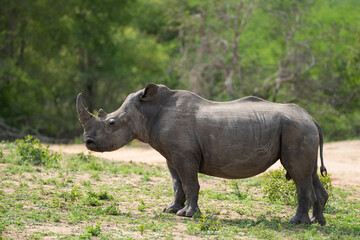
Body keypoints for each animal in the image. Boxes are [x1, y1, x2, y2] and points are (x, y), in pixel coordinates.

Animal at [76, 83, 330, 225]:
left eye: (111, 123)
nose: (88, 142)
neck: (148, 112)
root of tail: (312, 118)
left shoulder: (183, 153)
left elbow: (190, 182)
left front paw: (187, 215)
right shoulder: (171, 153)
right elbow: (177, 182)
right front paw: (171, 210)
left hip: (296, 129)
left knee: (298, 174)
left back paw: (296, 223)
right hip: (299, 129)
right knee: (307, 173)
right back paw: (317, 223)